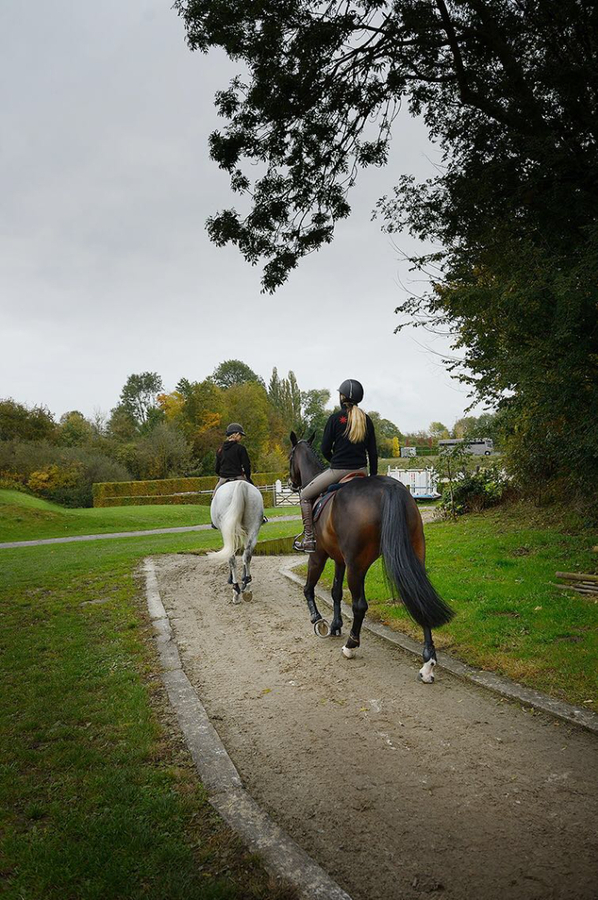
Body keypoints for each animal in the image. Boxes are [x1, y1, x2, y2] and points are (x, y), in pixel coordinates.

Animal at [290, 434, 454, 684]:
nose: (291, 483)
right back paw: (428, 664)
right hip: (412, 556)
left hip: (356, 566)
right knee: (418, 598)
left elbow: (308, 589)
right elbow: (335, 592)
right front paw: (336, 625)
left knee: (359, 605)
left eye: (290, 457)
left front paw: (319, 621)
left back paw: (351, 645)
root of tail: (389, 487)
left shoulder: (318, 556)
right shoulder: (340, 560)